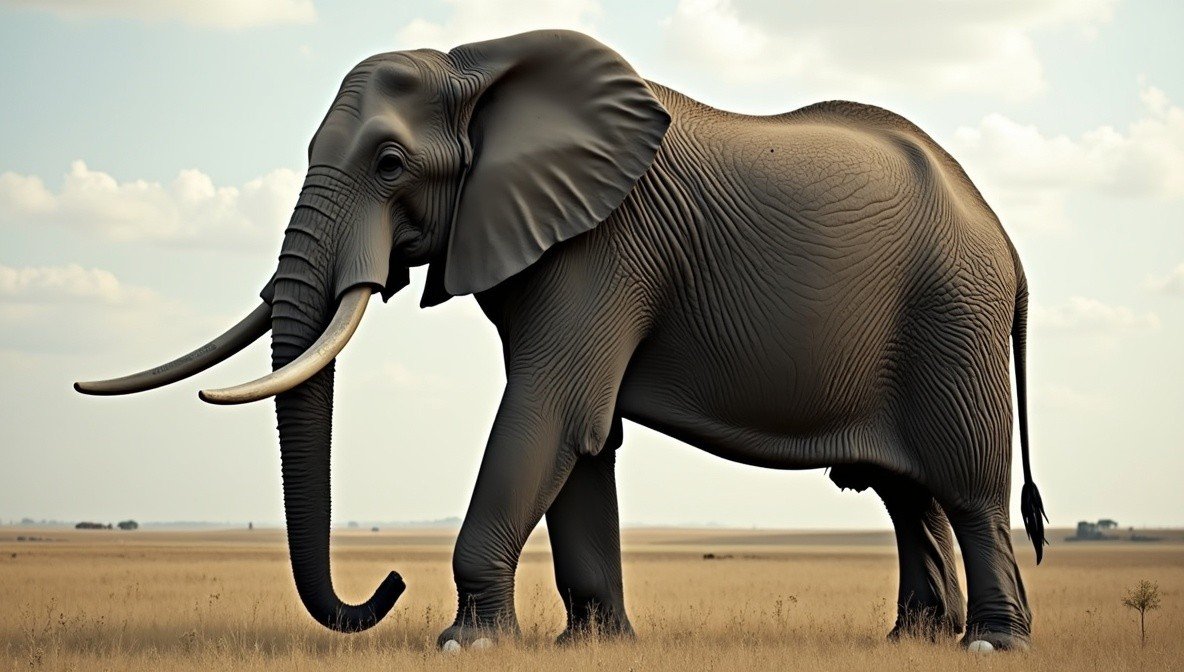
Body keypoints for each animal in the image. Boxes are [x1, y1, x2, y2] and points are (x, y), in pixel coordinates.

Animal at [75, 30, 1048, 651]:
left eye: (389, 165)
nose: (386, 583)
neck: (477, 67)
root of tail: (1008, 245)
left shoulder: (606, 245)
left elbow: (548, 414)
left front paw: (465, 644)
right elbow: (582, 439)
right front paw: (594, 644)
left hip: (953, 319)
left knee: (965, 486)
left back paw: (990, 646)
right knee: (904, 494)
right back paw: (912, 640)